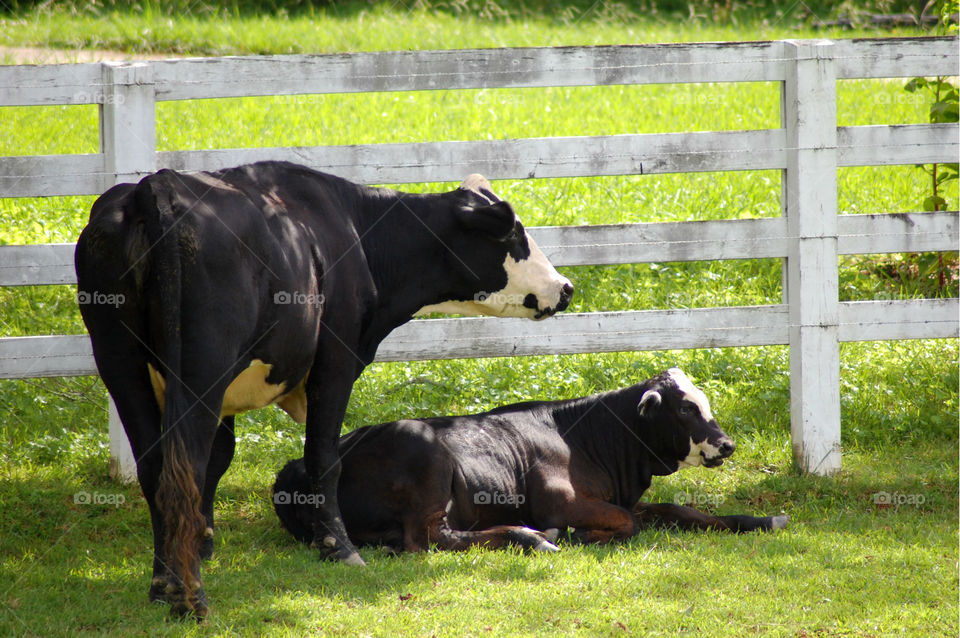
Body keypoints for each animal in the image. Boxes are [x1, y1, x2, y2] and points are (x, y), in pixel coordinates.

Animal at [74, 161, 573, 618]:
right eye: (514, 236)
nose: (565, 288)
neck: (354, 231)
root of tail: (156, 187)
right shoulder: (335, 360)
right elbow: (322, 458)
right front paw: (339, 548)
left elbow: (220, 459)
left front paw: (205, 544)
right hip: (200, 370)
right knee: (183, 473)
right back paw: (189, 598)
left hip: (121, 365)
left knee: (156, 468)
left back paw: (163, 585)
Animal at [273, 368, 788, 554]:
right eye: (685, 409)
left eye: (704, 403)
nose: (727, 444)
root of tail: (298, 466)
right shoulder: (559, 502)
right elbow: (630, 522)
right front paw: (582, 535)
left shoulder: (619, 496)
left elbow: (682, 510)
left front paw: (760, 520)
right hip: (430, 468)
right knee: (433, 540)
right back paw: (534, 538)